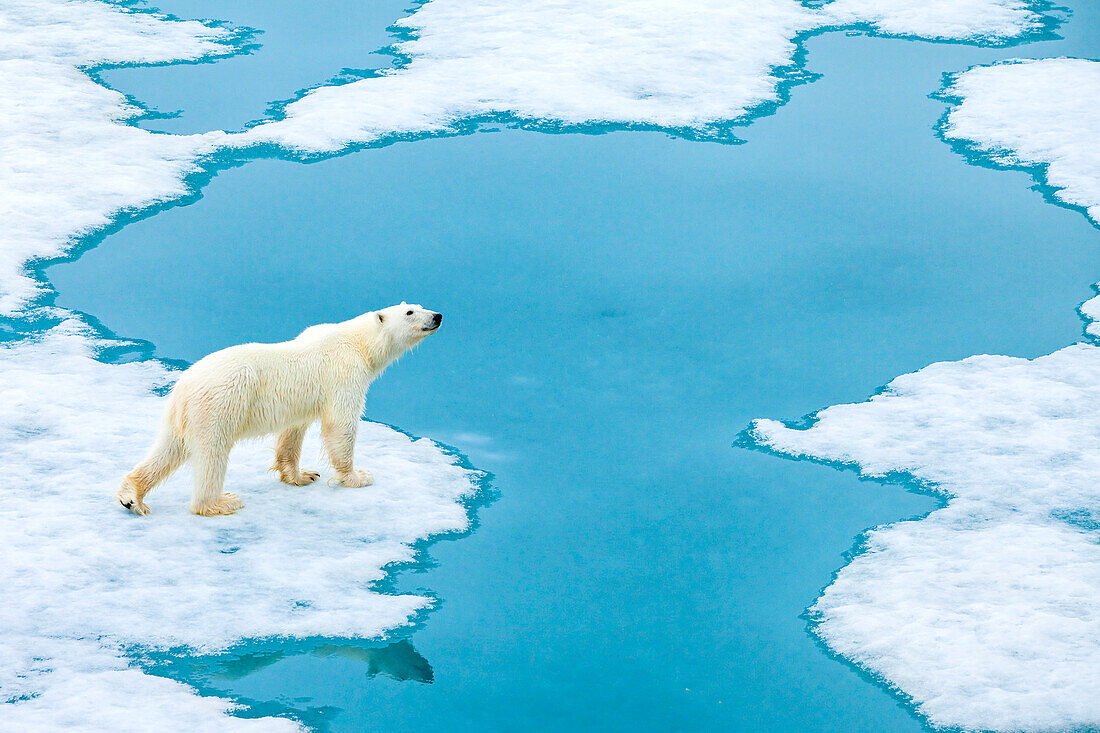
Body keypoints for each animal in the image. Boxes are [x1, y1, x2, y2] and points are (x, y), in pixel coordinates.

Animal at [117, 301, 442, 512]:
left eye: (420, 304)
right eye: (410, 312)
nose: (438, 315)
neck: (358, 342)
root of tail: (183, 386)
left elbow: (292, 432)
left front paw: (301, 475)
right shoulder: (344, 373)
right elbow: (341, 424)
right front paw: (357, 476)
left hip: (183, 415)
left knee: (168, 450)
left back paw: (132, 496)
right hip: (219, 405)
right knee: (212, 454)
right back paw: (221, 502)